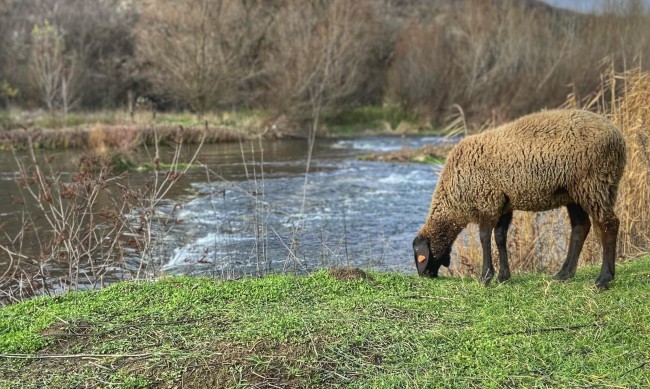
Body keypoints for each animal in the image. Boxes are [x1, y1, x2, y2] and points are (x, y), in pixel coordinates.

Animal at [412, 109, 624, 288]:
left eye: (419, 256)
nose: (424, 276)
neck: (453, 202)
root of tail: (618, 137)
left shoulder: (487, 201)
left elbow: (484, 238)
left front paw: (485, 277)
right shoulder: (503, 204)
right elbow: (500, 237)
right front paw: (503, 277)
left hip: (594, 184)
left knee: (608, 224)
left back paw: (604, 279)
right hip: (575, 193)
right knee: (581, 227)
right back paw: (563, 274)